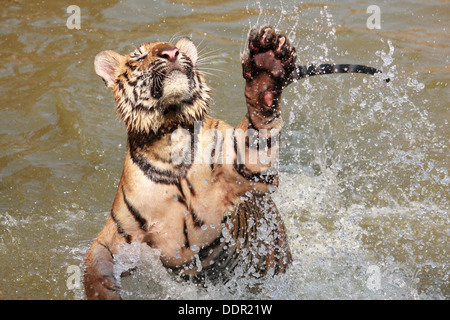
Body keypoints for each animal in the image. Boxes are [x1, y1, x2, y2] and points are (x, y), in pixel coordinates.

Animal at [83, 25, 298, 300]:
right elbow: (95, 269)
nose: (170, 52)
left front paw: (267, 66)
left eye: (178, 48)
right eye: (139, 56)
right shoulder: (121, 234)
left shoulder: (248, 166)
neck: (170, 136)